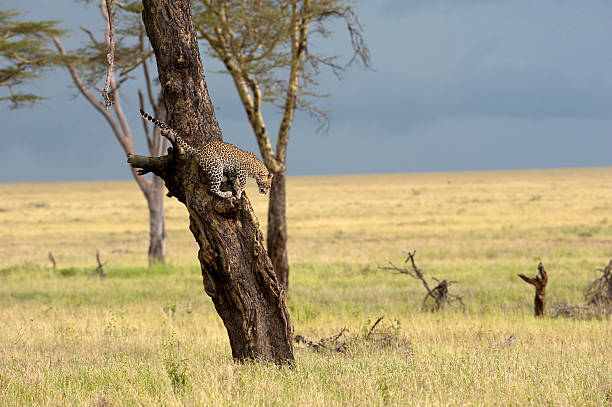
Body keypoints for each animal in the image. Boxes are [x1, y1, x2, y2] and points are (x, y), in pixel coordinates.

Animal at [141, 109, 272, 200]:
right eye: (268, 185)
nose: (265, 192)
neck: (257, 170)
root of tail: (199, 150)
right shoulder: (242, 169)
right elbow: (243, 182)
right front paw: (239, 192)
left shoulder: (234, 171)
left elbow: (234, 180)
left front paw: (236, 188)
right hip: (216, 166)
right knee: (213, 188)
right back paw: (226, 193)